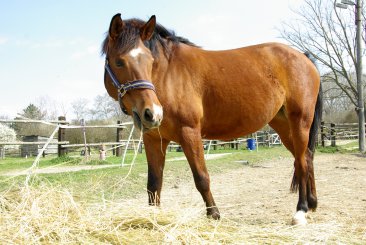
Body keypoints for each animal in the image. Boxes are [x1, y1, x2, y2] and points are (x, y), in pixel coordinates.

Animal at [101, 12, 322, 224]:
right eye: (119, 61)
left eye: (150, 61)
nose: (152, 113)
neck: (167, 74)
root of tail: (304, 57)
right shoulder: (154, 139)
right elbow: (154, 183)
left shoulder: (189, 132)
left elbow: (201, 177)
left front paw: (214, 214)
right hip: (283, 125)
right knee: (307, 157)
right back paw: (312, 204)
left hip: (300, 121)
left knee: (302, 163)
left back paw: (301, 210)